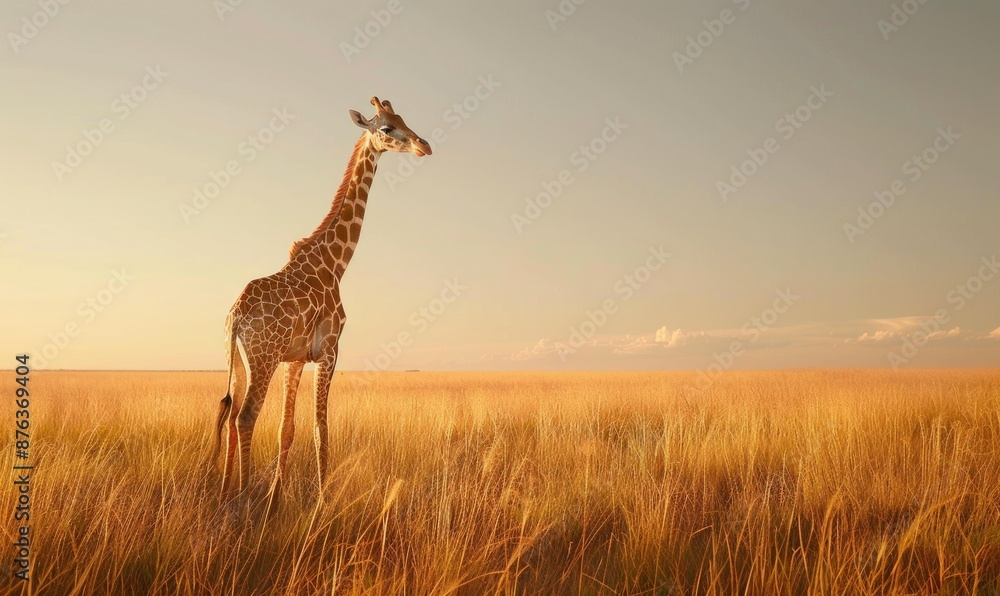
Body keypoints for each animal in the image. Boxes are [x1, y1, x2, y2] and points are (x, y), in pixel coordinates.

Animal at [213, 97, 432, 498]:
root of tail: (236, 317)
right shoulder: (329, 349)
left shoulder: (296, 358)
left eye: (403, 118)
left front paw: (277, 497)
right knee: (245, 416)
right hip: (263, 357)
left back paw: (224, 494)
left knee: (228, 412)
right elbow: (321, 430)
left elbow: (287, 430)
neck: (335, 262)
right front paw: (321, 498)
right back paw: (243, 494)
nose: (424, 145)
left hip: (236, 358)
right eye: (387, 127)